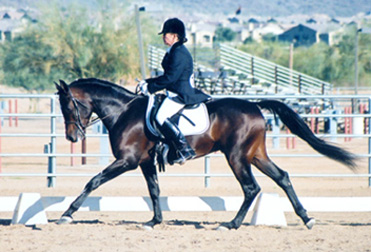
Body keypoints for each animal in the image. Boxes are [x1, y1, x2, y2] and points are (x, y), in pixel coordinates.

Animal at [55, 78, 358, 229]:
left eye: (68, 106)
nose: (72, 137)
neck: (124, 111)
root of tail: (255, 106)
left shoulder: (127, 161)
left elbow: (93, 181)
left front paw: (67, 214)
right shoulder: (144, 163)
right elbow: (154, 190)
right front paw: (154, 221)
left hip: (236, 156)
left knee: (251, 188)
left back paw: (231, 224)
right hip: (255, 155)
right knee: (282, 177)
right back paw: (307, 218)